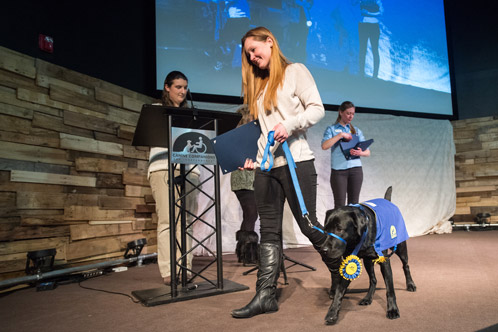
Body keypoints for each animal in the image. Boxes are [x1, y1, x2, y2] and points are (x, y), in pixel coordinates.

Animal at [320, 188, 414, 326]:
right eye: (325, 230)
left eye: (339, 229)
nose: (323, 250)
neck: (360, 238)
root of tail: (387, 200)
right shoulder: (349, 263)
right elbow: (339, 291)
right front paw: (332, 312)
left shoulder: (385, 262)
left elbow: (390, 289)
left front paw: (392, 309)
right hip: (368, 261)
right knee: (373, 280)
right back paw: (368, 298)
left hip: (400, 247)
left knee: (405, 265)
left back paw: (410, 284)